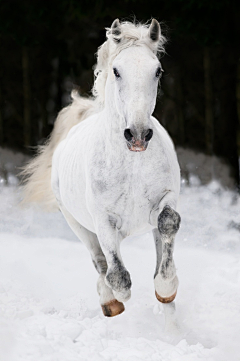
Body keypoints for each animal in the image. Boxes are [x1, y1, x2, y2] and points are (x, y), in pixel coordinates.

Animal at [22, 18, 180, 316]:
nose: (138, 135)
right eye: (117, 71)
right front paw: (119, 295)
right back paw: (110, 302)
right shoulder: (103, 220)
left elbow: (168, 223)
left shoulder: (166, 199)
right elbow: (117, 274)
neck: (132, 165)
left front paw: (166, 288)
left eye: (158, 71)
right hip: (76, 223)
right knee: (99, 261)